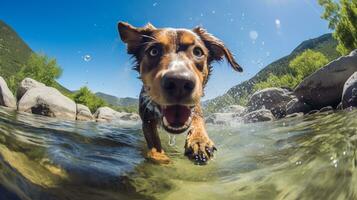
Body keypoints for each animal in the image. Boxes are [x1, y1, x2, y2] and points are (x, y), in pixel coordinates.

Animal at [117, 21, 242, 164]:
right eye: (153, 51)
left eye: (197, 52)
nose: (179, 83)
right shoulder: (147, 117)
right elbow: (154, 142)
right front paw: (160, 157)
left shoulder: (195, 104)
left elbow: (197, 118)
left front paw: (199, 141)